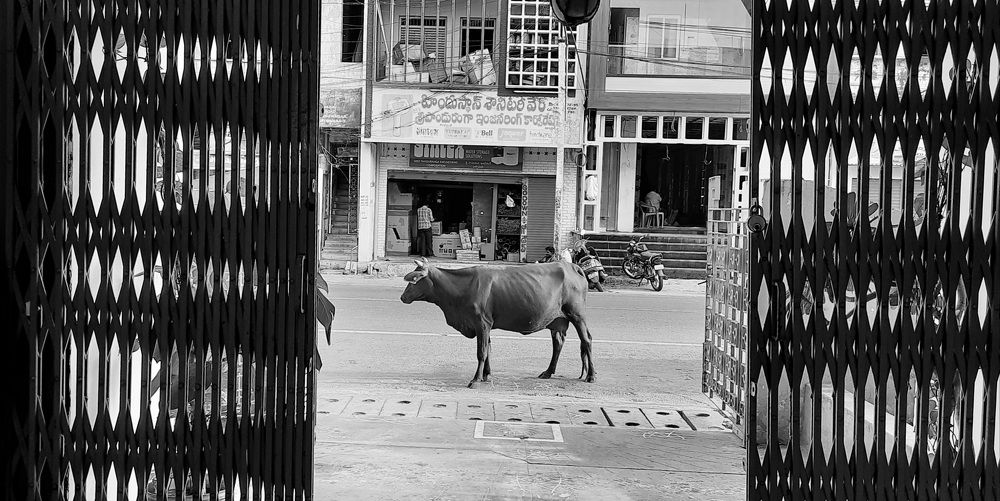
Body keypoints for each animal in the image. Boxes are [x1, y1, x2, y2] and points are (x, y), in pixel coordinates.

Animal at [400, 258, 596, 388]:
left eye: (414, 280)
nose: (402, 297)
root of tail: (572, 266)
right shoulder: (485, 325)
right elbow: (488, 350)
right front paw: (486, 375)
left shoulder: (481, 323)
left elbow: (481, 352)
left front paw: (475, 379)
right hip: (558, 320)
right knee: (558, 343)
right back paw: (548, 372)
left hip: (577, 314)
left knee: (586, 340)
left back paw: (591, 376)